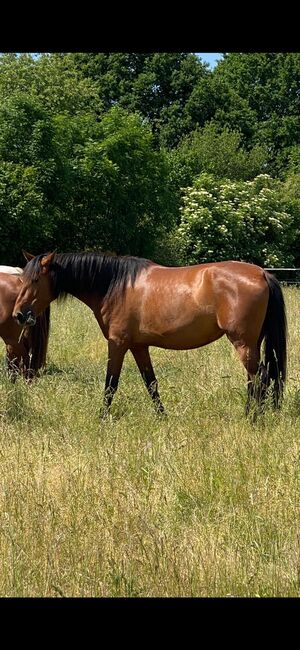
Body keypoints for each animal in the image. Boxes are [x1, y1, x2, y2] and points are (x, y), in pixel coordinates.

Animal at [12, 251, 288, 412]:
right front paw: (162, 416)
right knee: (260, 378)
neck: (115, 284)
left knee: (260, 378)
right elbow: (151, 383)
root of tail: (262, 273)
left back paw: (252, 417)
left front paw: (102, 417)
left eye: (35, 280)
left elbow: (110, 384)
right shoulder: (138, 346)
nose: (18, 315)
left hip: (243, 343)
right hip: (253, 342)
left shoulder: (118, 343)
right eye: (22, 279)